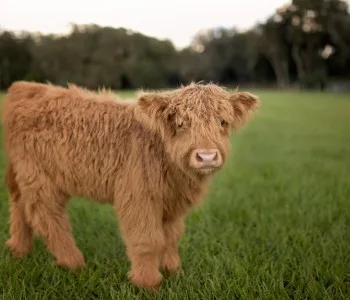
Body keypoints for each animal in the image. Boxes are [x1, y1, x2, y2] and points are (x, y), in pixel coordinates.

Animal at [1, 81, 258, 290]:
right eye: (180, 123)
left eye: (223, 122)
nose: (206, 156)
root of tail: (26, 87)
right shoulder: (139, 197)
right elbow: (148, 240)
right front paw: (148, 283)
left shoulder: (172, 204)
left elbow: (171, 237)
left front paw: (174, 271)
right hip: (39, 177)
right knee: (46, 216)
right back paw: (73, 262)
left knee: (20, 203)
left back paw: (19, 248)